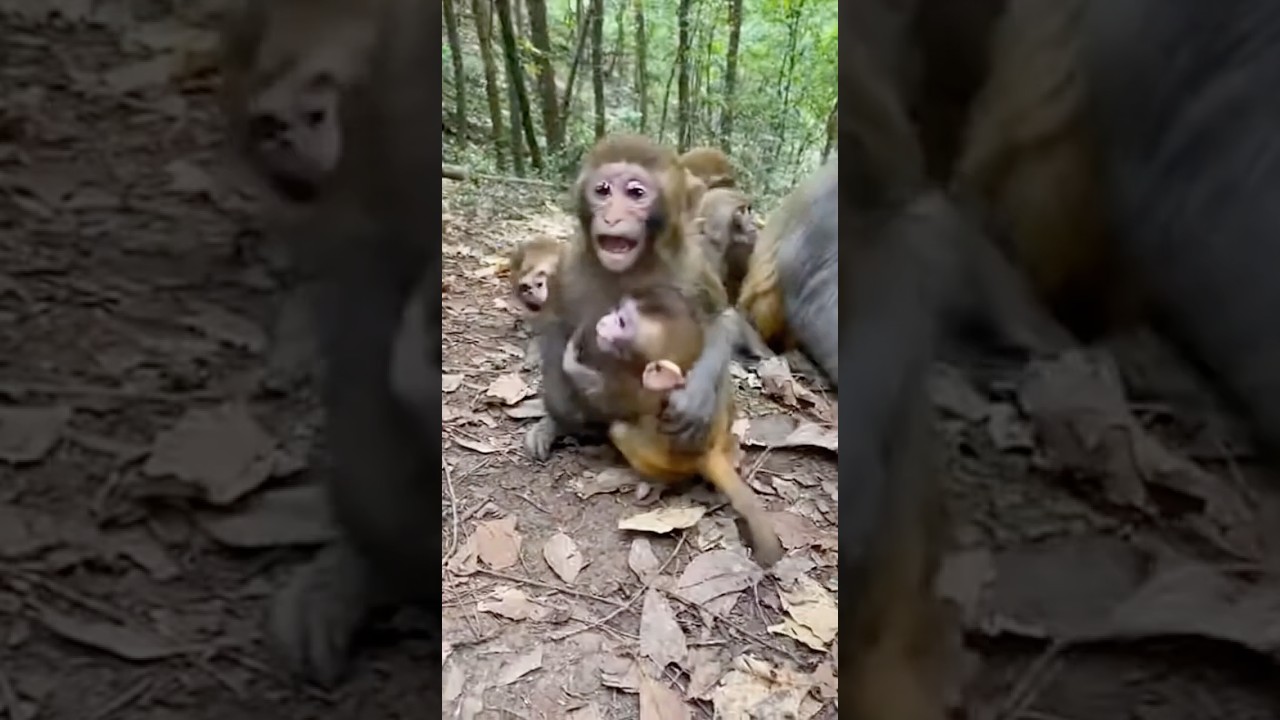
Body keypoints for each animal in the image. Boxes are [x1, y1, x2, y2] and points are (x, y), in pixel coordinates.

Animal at [523, 134, 742, 464]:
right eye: (603, 190)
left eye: (635, 193)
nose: (612, 217)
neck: (632, 266)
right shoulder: (571, 262)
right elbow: (556, 325)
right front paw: (560, 414)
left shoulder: (689, 264)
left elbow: (716, 318)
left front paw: (696, 396)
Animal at [561, 285, 783, 567]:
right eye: (617, 312)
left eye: (622, 322)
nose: (603, 320)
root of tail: (709, 451)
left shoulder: (633, 388)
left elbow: (606, 399)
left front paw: (570, 359)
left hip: (667, 461)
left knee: (620, 429)